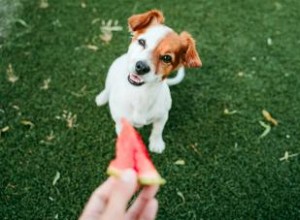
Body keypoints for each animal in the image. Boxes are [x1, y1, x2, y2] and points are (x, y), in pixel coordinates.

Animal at [94, 9, 202, 153]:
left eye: (167, 58)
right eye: (142, 42)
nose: (141, 67)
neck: (141, 94)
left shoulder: (162, 117)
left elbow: (157, 131)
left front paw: (156, 144)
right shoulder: (122, 123)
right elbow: (127, 138)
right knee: (107, 88)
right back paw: (102, 98)